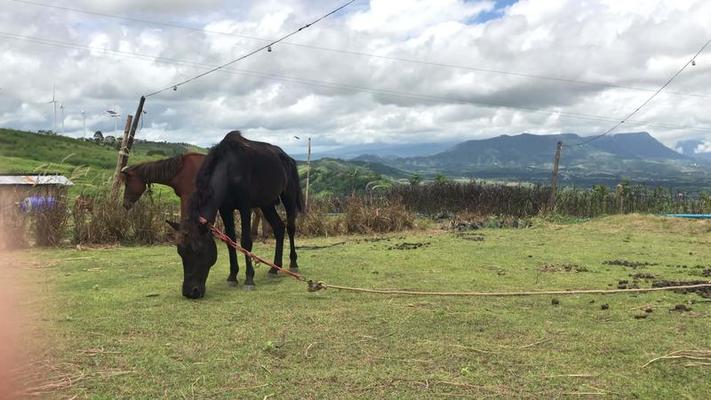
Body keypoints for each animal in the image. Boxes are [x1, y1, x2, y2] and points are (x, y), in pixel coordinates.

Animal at [174, 130, 304, 298]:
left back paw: (293, 264)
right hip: (267, 203)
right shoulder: (225, 210)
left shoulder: (245, 207)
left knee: (290, 228)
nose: (190, 292)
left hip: (288, 197)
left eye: (198, 250)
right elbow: (231, 242)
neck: (229, 170)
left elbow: (245, 242)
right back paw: (274, 268)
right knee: (279, 228)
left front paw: (249, 279)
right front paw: (232, 277)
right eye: (180, 252)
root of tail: (288, 158)